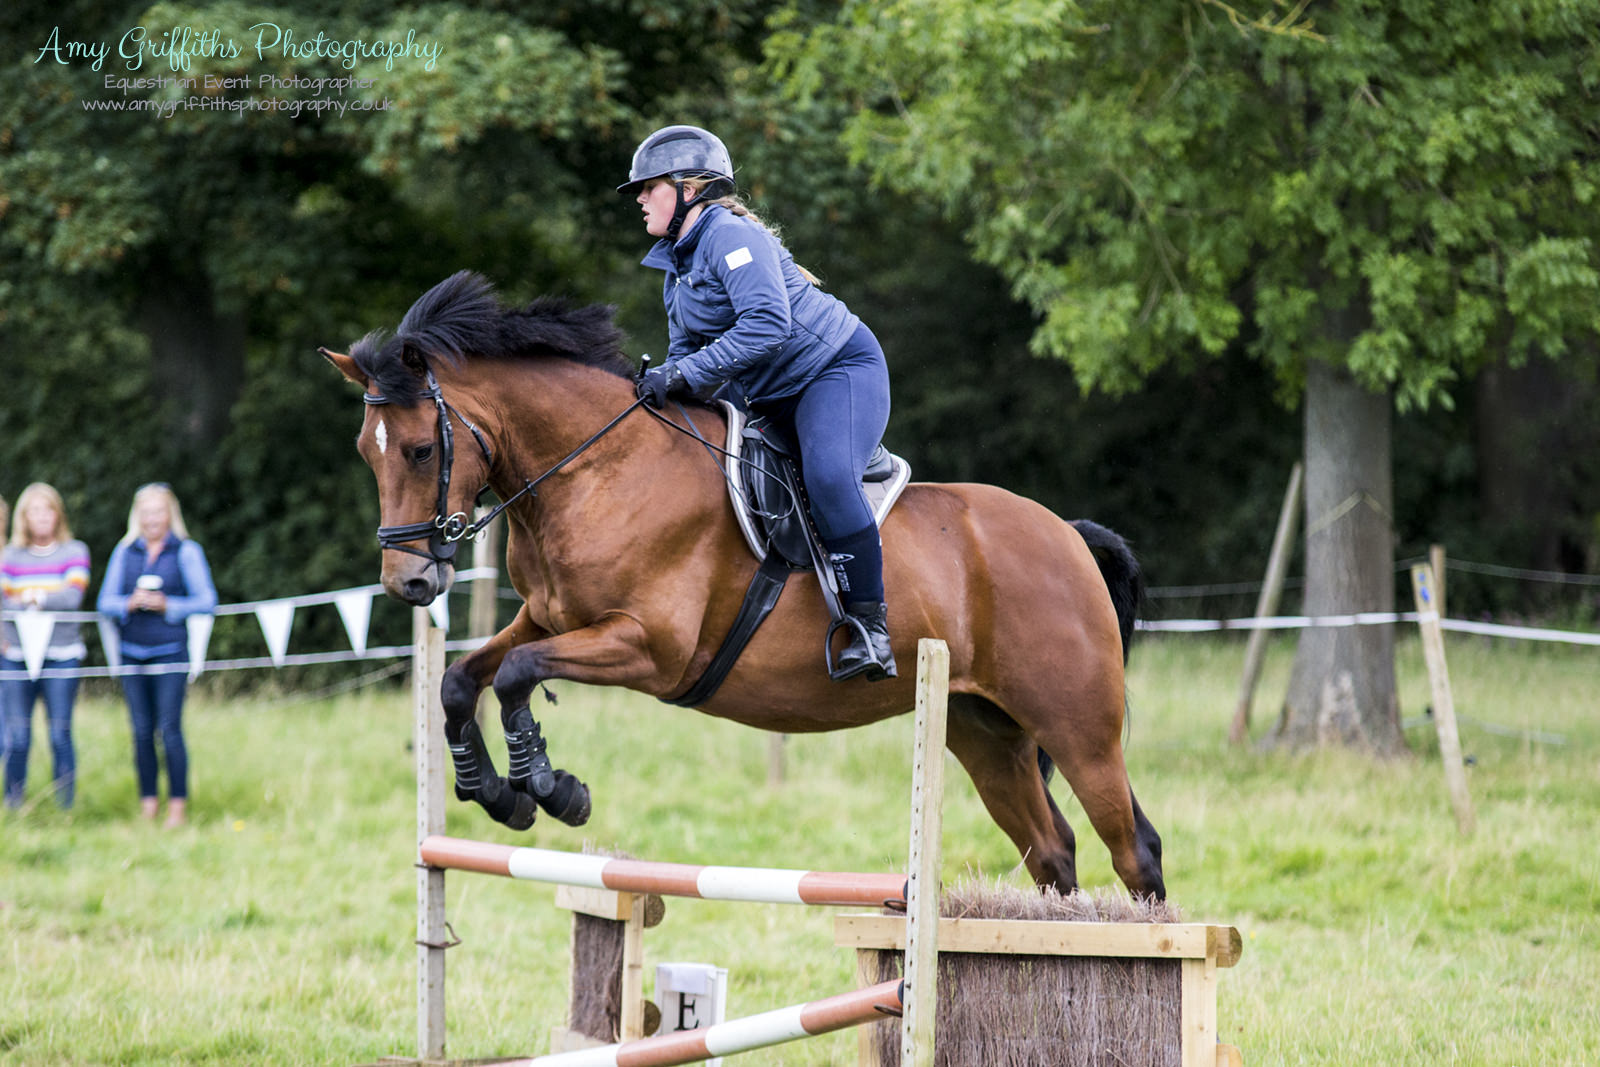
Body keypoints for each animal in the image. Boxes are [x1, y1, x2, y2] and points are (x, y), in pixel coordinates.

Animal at [321, 271, 1164, 895]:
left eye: (422, 449)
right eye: (365, 450)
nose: (408, 582)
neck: (599, 468)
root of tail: (1068, 536)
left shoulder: (649, 647)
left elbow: (517, 675)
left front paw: (554, 788)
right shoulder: (549, 617)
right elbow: (463, 678)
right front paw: (494, 793)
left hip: (1078, 726)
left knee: (1135, 848)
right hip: (985, 731)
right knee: (1052, 849)